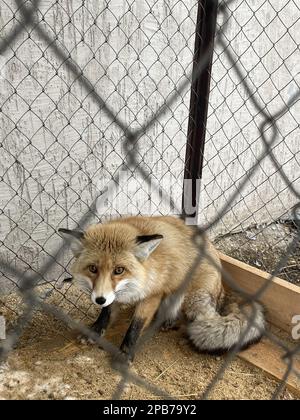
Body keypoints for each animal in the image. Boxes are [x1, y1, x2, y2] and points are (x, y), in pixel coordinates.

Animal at [58, 217, 264, 360]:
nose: (99, 299)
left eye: (119, 270)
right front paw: (95, 332)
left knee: (208, 320)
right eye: (93, 269)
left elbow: (136, 326)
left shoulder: (152, 295)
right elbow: (105, 314)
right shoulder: (112, 296)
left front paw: (126, 352)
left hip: (193, 300)